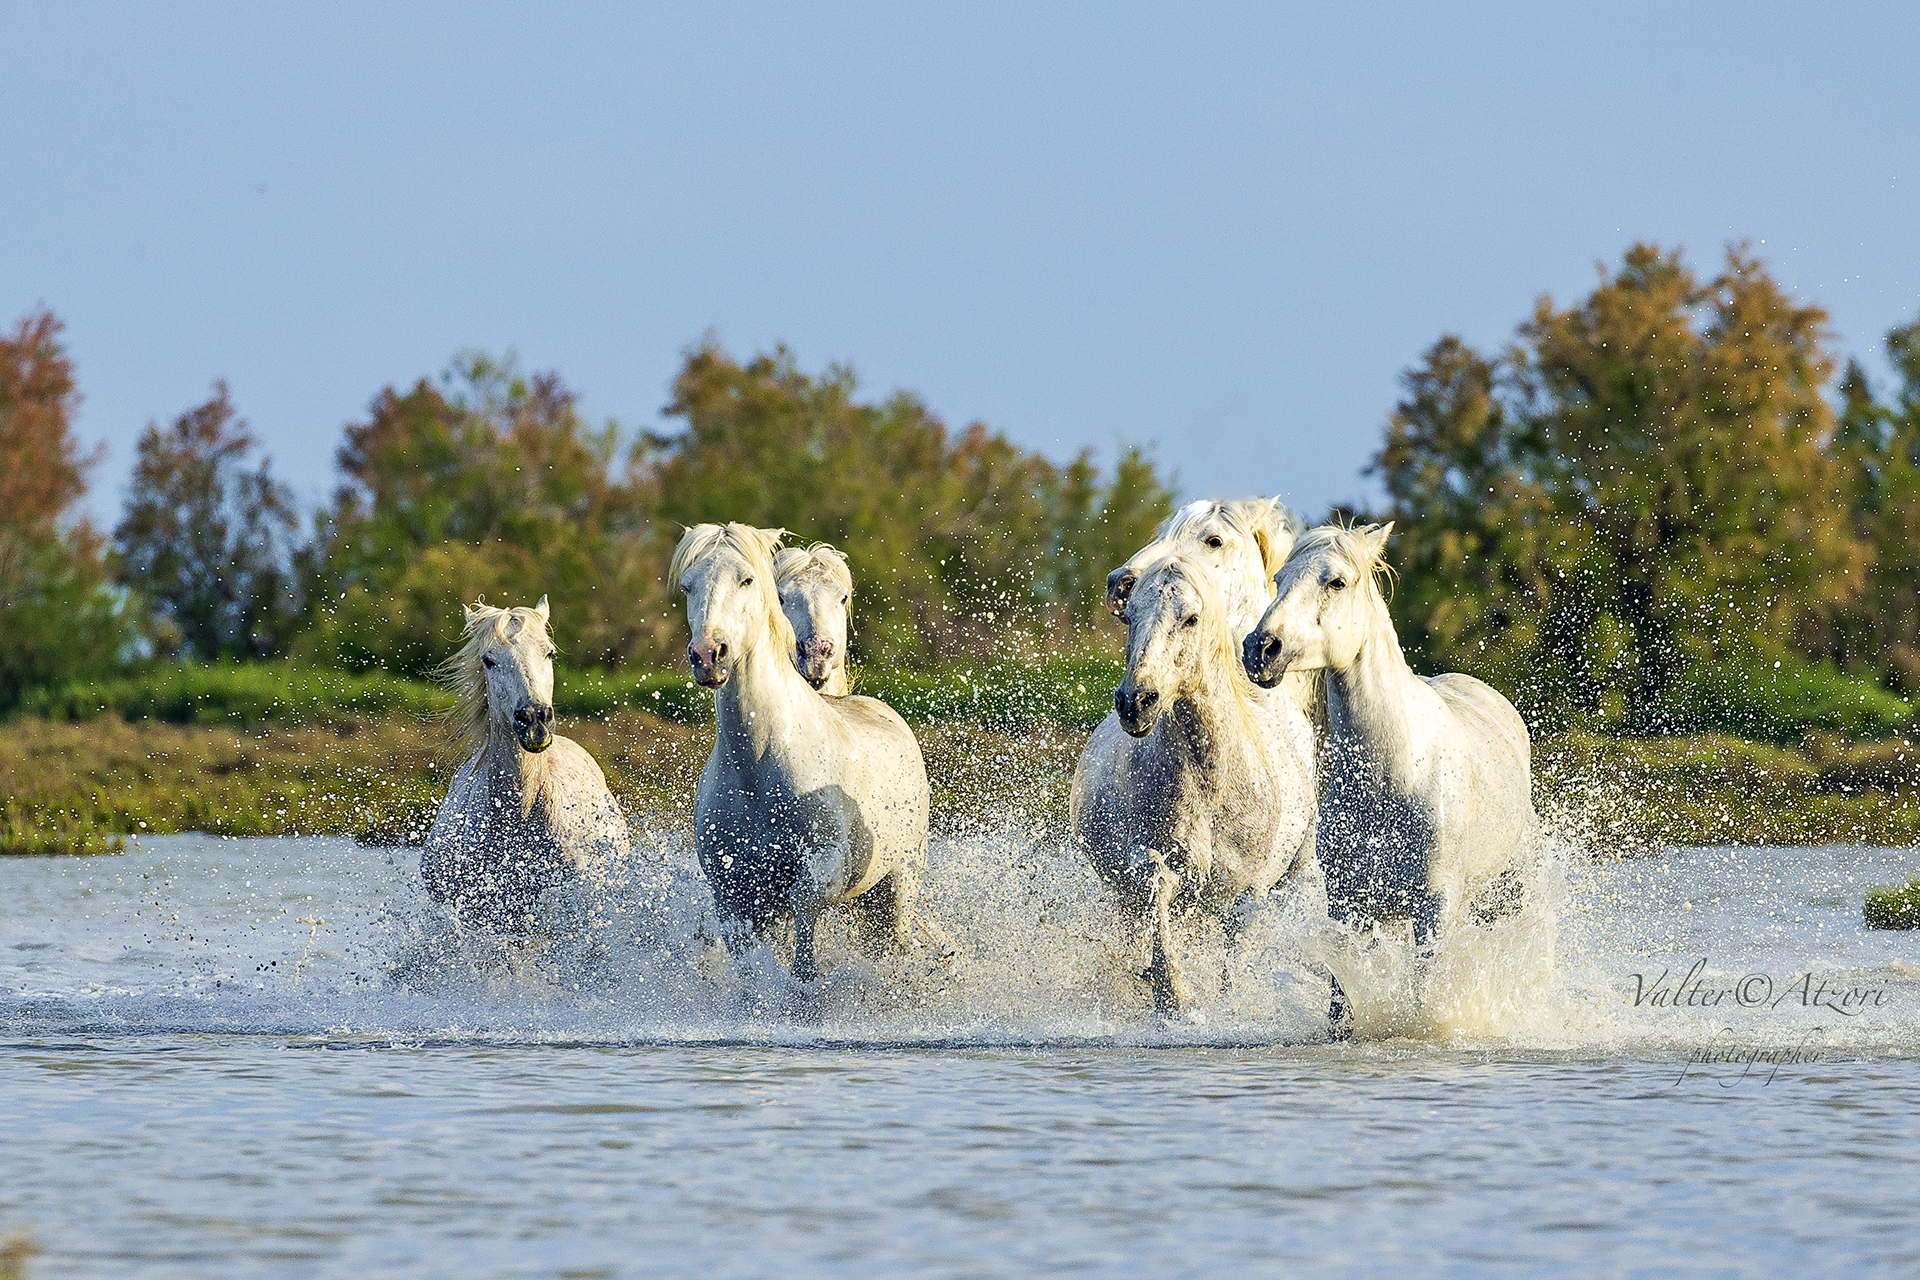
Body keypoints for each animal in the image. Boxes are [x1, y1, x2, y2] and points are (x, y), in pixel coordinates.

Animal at [1071, 550, 1320, 1013]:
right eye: (1131, 615)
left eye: (1190, 618)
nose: (1135, 701)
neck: (1211, 787)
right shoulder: (1151, 865)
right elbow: (1156, 890)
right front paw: (1174, 995)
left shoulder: (1247, 893)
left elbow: (1233, 959)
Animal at [1242, 523, 1537, 995]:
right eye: (1280, 579)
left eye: (1337, 582)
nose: (1260, 648)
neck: (1390, 776)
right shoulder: (1349, 907)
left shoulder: (1435, 908)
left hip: (1508, 893)